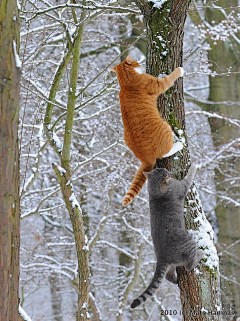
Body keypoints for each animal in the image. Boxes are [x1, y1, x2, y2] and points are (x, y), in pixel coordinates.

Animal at [111, 55, 184, 205]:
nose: (139, 62)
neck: (125, 82)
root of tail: (145, 158)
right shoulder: (158, 84)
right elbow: (169, 78)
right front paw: (180, 70)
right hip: (165, 126)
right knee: (165, 153)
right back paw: (179, 144)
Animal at [130, 164, 203, 308]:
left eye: (160, 169)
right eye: (164, 172)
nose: (168, 171)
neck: (155, 192)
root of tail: (161, 258)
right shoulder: (181, 186)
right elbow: (189, 177)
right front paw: (194, 165)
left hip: (172, 264)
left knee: (168, 275)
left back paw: (175, 280)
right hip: (190, 242)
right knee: (189, 265)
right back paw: (200, 254)